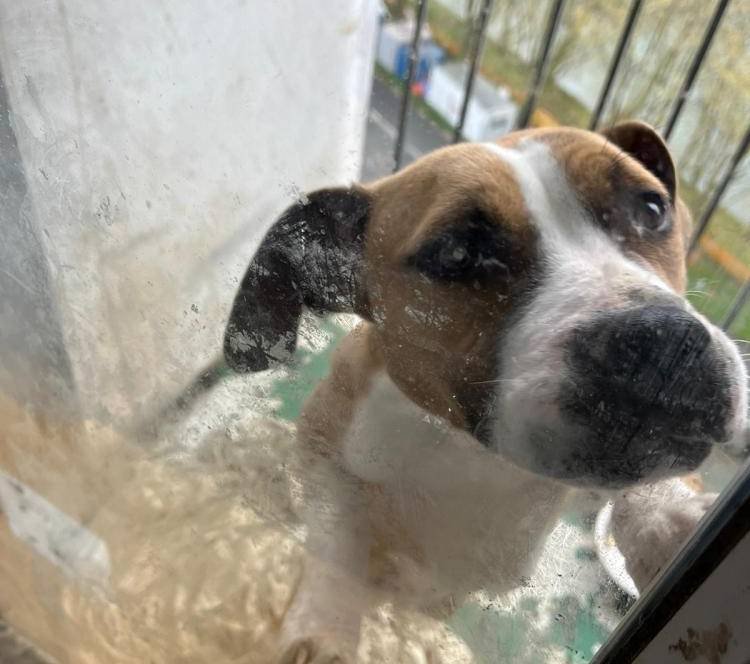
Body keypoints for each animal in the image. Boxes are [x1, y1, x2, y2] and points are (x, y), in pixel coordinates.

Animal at [221, 122, 748, 662]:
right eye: (457, 255)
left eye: (651, 208)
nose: (665, 346)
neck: (475, 454)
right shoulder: (322, 443)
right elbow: (341, 531)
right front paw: (327, 626)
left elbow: (641, 491)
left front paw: (676, 521)